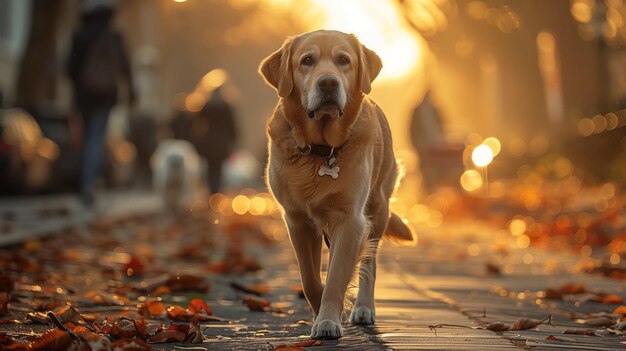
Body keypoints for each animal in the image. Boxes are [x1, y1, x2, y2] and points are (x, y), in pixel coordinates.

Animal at [260, 31, 414, 340]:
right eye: (307, 60)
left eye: (344, 60)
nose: (328, 83)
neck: (321, 149)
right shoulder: (297, 220)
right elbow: (309, 277)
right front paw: (322, 311)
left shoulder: (350, 219)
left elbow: (337, 276)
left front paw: (329, 319)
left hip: (378, 208)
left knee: (369, 263)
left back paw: (364, 307)